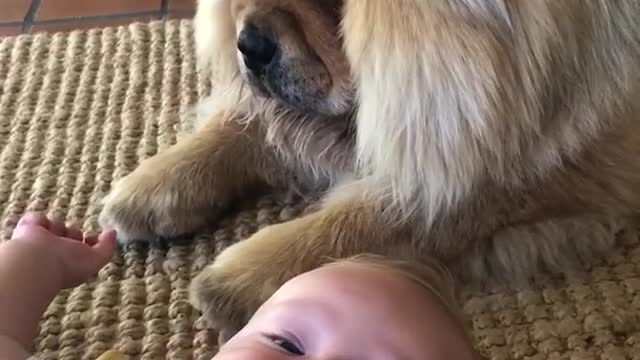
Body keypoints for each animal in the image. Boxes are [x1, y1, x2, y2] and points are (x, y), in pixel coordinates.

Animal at [97, 0, 640, 340]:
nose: (249, 44)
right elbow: (243, 125)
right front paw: (150, 185)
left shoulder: (523, 168)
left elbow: (387, 213)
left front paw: (240, 276)